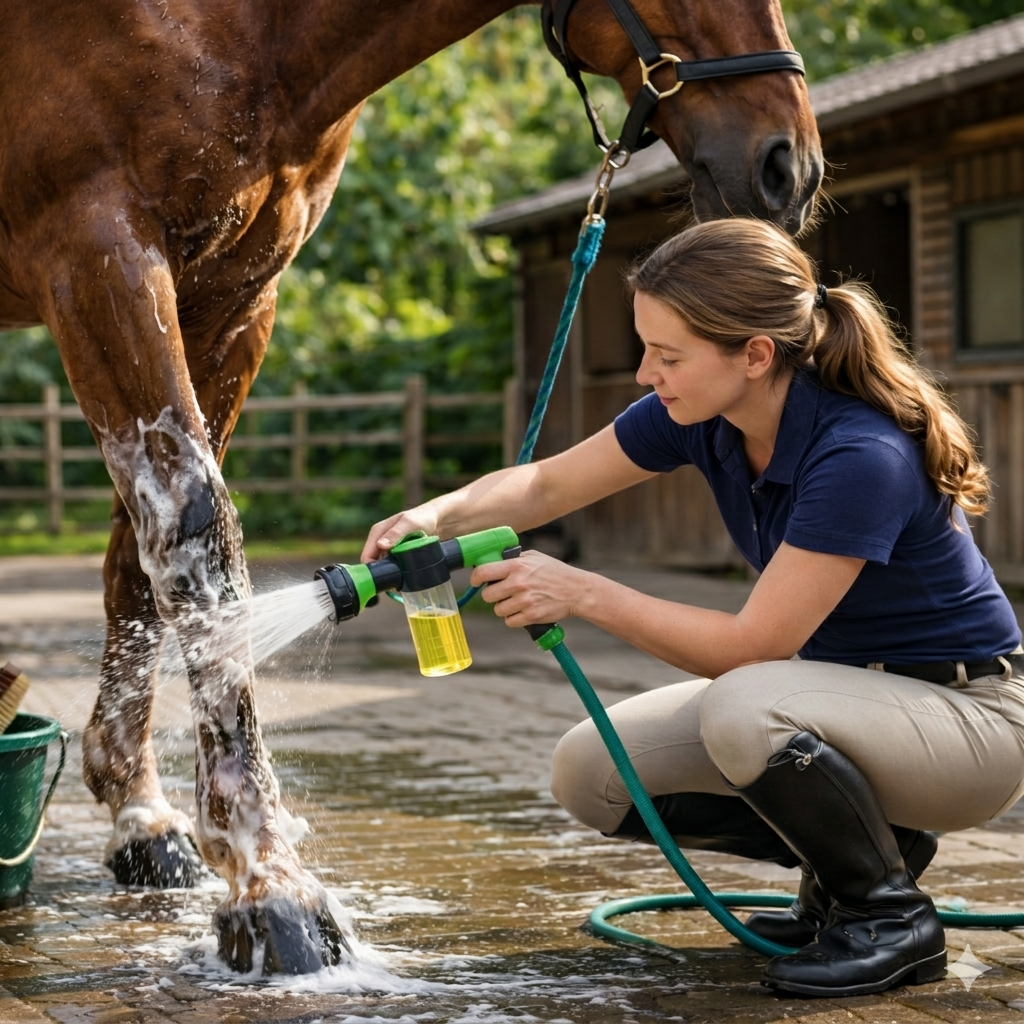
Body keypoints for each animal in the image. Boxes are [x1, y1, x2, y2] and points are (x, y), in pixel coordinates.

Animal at [0, 0, 822, 974]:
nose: (788, 168)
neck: (242, 33)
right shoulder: (98, 254)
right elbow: (196, 535)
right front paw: (271, 889)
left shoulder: (234, 295)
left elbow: (142, 552)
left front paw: (144, 817)